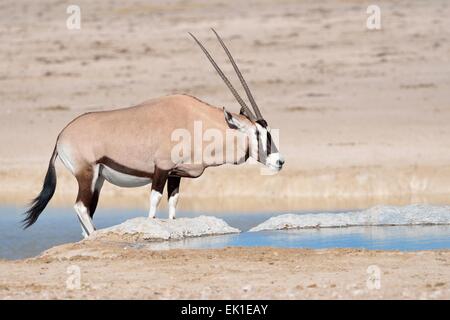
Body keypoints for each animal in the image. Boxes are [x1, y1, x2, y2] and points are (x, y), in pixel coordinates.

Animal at [22, 30, 284, 238]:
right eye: (257, 133)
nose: (279, 161)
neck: (194, 122)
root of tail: (61, 136)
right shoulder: (161, 169)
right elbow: (154, 201)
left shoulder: (176, 174)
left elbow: (173, 204)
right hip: (86, 173)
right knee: (81, 207)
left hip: (98, 179)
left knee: (86, 210)